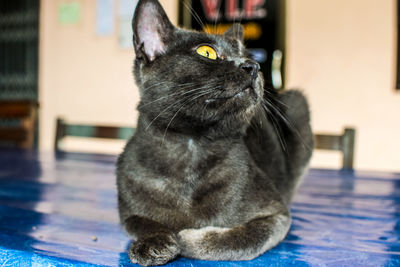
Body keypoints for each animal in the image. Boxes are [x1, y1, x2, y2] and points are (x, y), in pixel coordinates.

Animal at [115, 0, 312, 266]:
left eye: (248, 56)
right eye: (206, 52)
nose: (253, 66)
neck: (190, 146)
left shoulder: (276, 214)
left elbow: (237, 240)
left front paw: (186, 238)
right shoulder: (127, 209)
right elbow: (139, 221)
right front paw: (154, 243)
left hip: (298, 104)